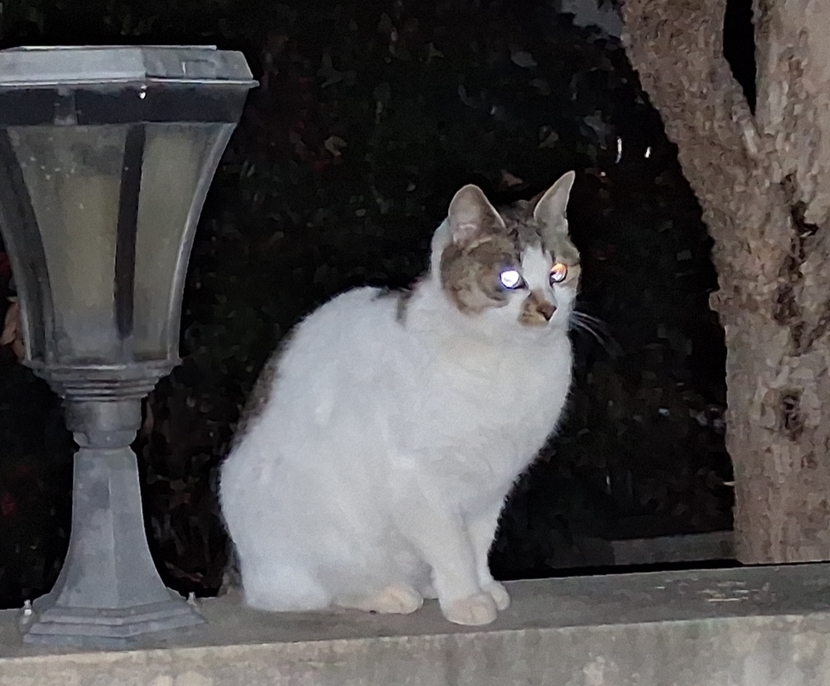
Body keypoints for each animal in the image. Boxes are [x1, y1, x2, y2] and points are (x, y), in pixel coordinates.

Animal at [220, 171, 580, 626]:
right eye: (510, 279)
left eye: (558, 272)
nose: (548, 309)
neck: (508, 359)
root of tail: (242, 568)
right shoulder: (420, 481)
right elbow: (453, 548)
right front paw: (466, 598)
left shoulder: (490, 483)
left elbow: (478, 542)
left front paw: (483, 586)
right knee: (297, 594)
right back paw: (389, 593)